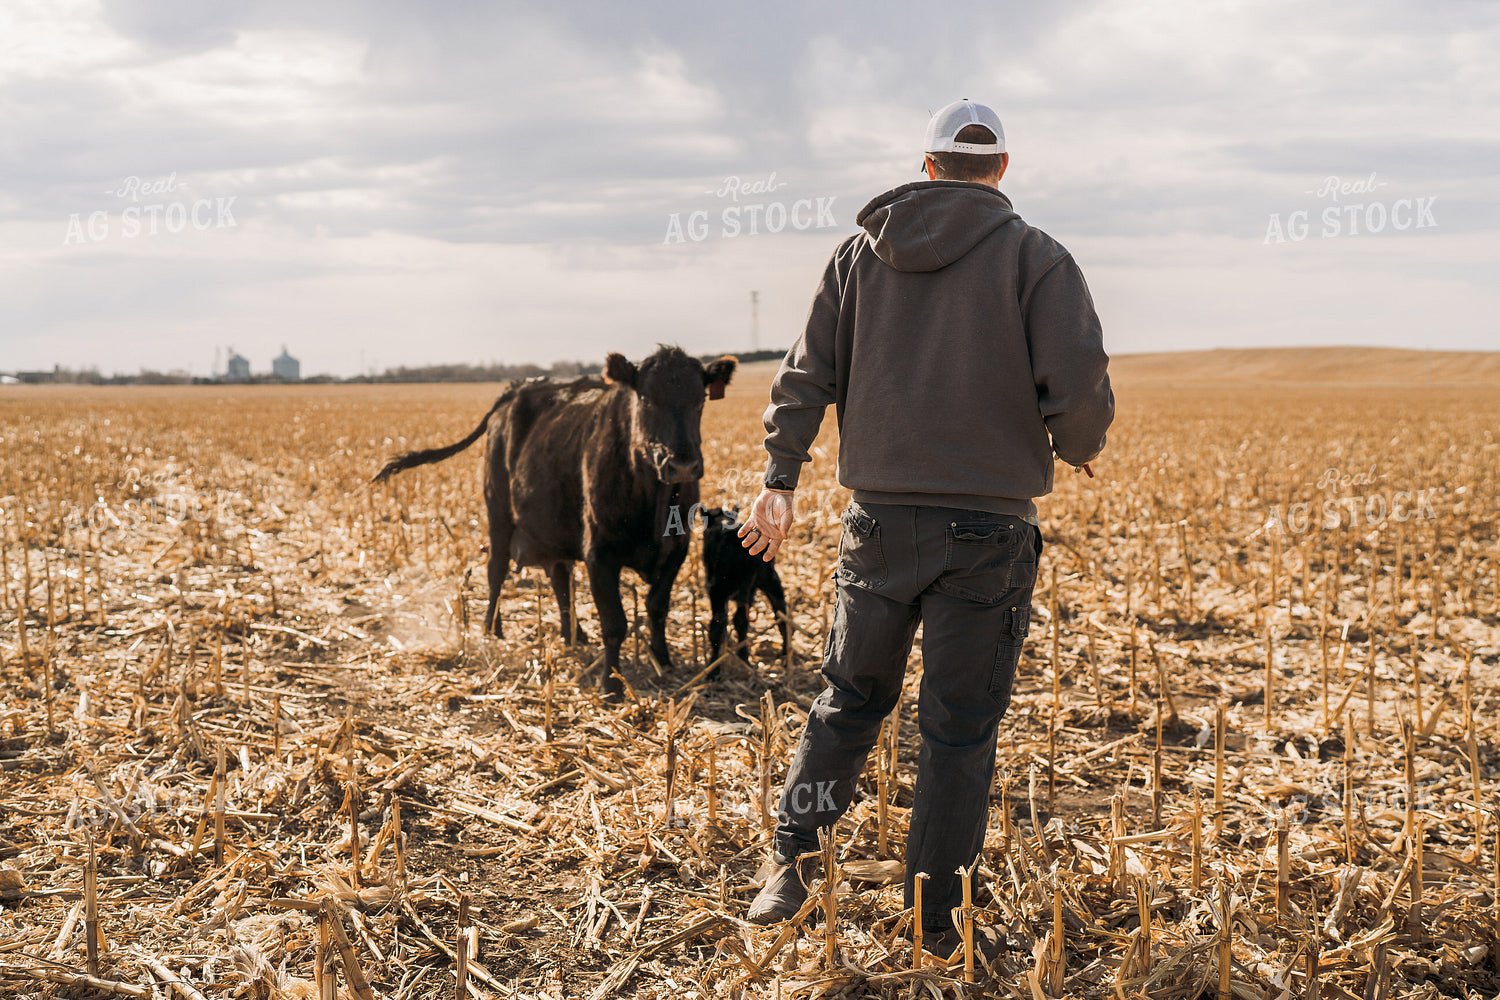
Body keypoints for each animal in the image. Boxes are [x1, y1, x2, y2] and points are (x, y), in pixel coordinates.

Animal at [372, 346, 737, 698]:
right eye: (646, 398)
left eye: (700, 399)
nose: (683, 465)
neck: (654, 500)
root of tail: (518, 388)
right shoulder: (599, 554)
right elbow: (614, 623)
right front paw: (611, 685)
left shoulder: (678, 549)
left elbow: (657, 607)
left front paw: (664, 661)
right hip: (498, 512)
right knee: (496, 570)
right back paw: (492, 628)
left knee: (559, 577)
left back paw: (573, 634)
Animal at [701, 506, 788, 666]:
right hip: (769, 579)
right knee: (781, 613)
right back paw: (783, 654)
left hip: (719, 589)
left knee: (718, 624)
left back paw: (714, 667)